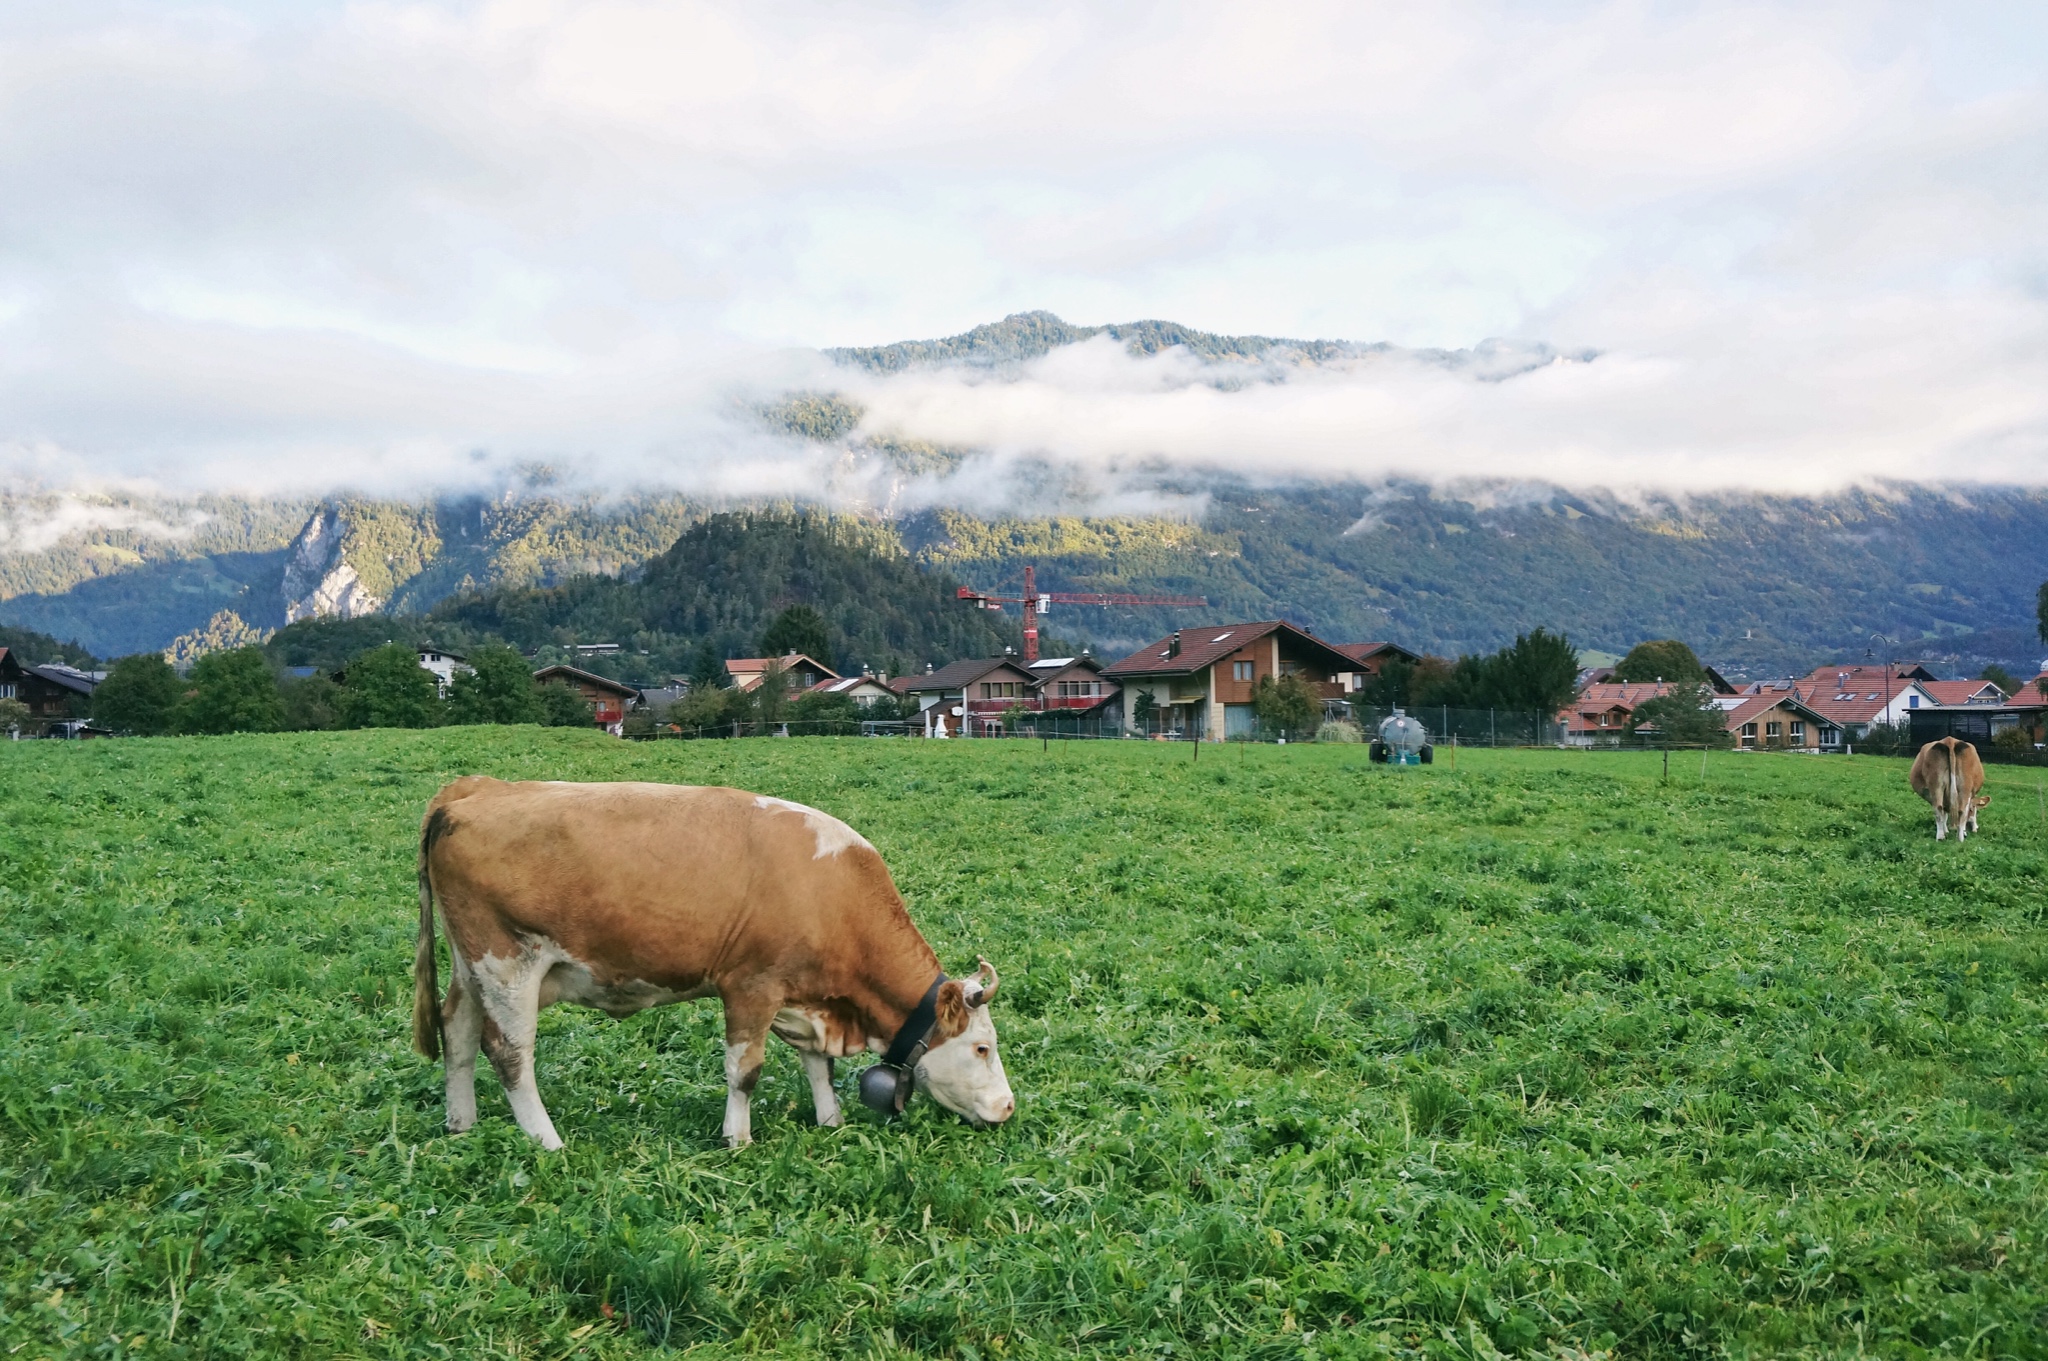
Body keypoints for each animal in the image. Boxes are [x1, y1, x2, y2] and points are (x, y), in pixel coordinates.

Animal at [411, 773, 1019, 1146]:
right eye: (981, 1048)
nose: (1009, 1108)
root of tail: (476, 788)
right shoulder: (751, 986)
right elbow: (744, 1072)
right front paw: (738, 1138)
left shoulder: (804, 998)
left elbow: (818, 1067)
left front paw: (831, 1120)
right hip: (507, 964)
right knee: (509, 1053)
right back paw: (548, 1143)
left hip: (470, 965)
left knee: (456, 1032)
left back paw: (461, 1124)